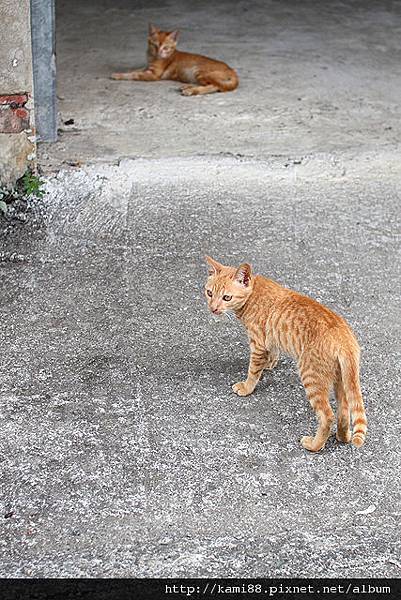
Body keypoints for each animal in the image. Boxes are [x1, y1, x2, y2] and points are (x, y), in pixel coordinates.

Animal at [110, 24, 238, 96]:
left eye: (165, 48)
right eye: (154, 45)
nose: (159, 52)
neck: (152, 57)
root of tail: (232, 70)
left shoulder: (153, 74)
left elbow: (134, 74)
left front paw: (118, 75)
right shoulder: (146, 67)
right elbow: (134, 70)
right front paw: (122, 72)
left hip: (200, 71)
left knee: (215, 86)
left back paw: (192, 91)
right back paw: (187, 87)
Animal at [205, 255, 368, 452]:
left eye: (226, 297)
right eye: (209, 293)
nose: (213, 308)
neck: (253, 294)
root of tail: (346, 339)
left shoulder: (257, 343)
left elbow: (253, 371)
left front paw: (246, 387)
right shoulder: (270, 338)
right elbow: (273, 351)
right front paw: (269, 363)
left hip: (311, 376)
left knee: (327, 415)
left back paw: (314, 445)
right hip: (340, 380)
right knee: (343, 413)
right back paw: (343, 436)